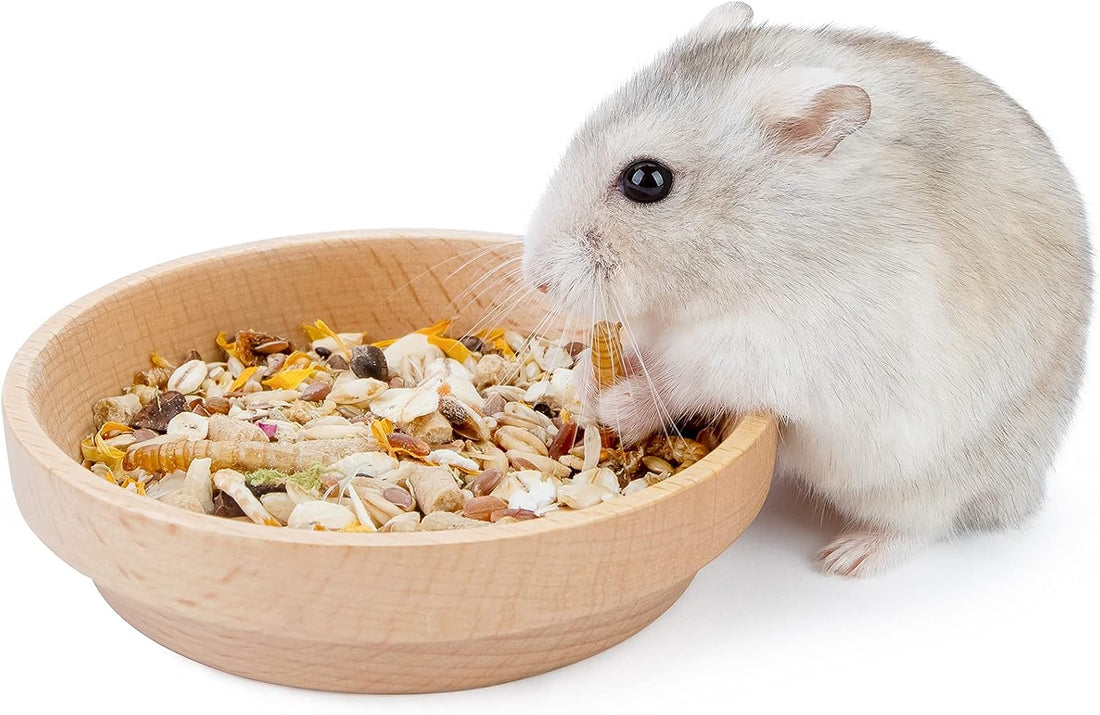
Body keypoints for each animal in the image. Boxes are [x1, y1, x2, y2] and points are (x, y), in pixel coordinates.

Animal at [522, 3, 1092, 576]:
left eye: (647, 180)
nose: (537, 280)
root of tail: (1024, 492)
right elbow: (634, 344)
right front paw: (584, 381)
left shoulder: (776, 349)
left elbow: (686, 378)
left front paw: (616, 407)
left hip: (928, 479)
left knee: (922, 525)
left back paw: (846, 558)